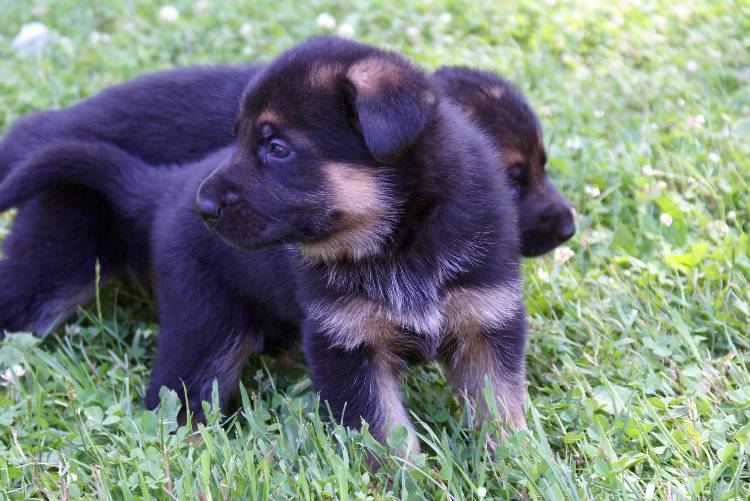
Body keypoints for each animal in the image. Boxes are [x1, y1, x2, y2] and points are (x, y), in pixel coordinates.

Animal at [0, 35, 528, 450]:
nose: (204, 206)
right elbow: (384, 431)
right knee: (175, 403)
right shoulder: (346, 346)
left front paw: (513, 462)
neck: (400, 241)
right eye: (237, 137)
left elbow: (501, 409)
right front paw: (406, 480)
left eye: (277, 148)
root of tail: (164, 188)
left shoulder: (486, 323)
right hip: (201, 327)